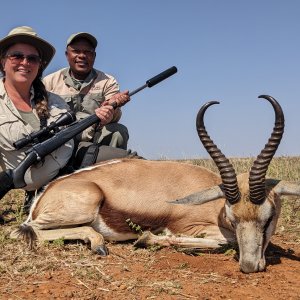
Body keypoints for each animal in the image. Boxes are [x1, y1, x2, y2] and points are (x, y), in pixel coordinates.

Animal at [11, 95, 300, 274]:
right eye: (232, 218)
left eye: (269, 217)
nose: (250, 266)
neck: (215, 204)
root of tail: (45, 193)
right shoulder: (192, 228)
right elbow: (222, 242)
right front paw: (147, 238)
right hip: (84, 204)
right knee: (23, 230)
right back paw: (99, 242)